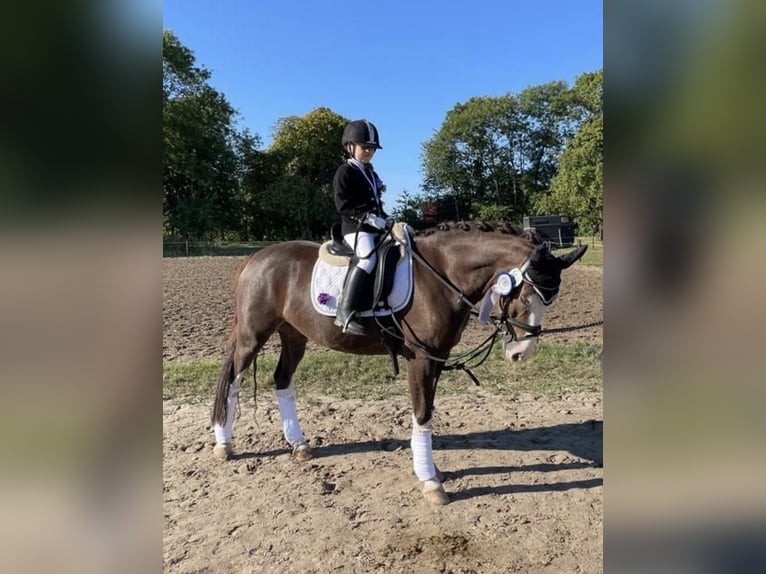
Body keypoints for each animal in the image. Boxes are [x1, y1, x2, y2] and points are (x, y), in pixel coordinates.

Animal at [210, 223, 588, 506]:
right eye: (525, 294)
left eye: (550, 299)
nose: (521, 353)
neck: (440, 275)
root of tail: (256, 257)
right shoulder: (420, 358)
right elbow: (422, 414)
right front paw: (431, 481)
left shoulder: (437, 358)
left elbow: (428, 411)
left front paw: (431, 471)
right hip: (252, 335)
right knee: (233, 381)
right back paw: (224, 445)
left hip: (293, 335)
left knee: (282, 380)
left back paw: (299, 445)